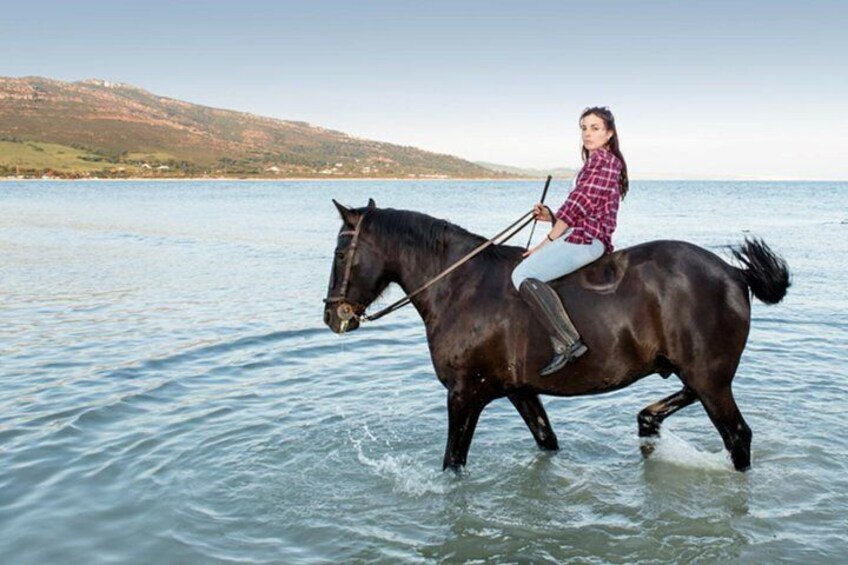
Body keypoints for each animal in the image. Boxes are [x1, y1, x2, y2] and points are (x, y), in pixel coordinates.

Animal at [322, 198, 788, 472]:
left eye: (341, 253)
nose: (332, 316)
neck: (461, 286)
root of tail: (734, 273)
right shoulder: (520, 390)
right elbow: (547, 440)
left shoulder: (463, 393)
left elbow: (453, 462)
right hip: (696, 374)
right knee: (674, 406)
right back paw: (648, 421)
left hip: (710, 379)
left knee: (738, 437)